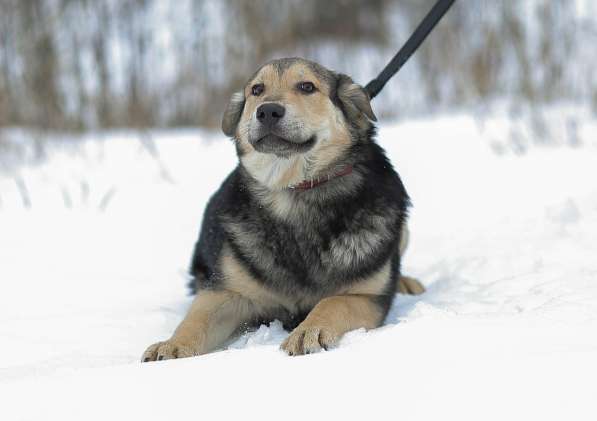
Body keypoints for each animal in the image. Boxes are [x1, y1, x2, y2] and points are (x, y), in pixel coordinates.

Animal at [141, 56, 422, 360]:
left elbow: (333, 302)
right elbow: (196, 318)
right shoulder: (227, 292)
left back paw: (406, 282)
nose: (267, 111)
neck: (295, 191)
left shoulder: (368, 297)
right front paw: (172, 345)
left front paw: (308, 330)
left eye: (307, 86)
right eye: (257, 90)